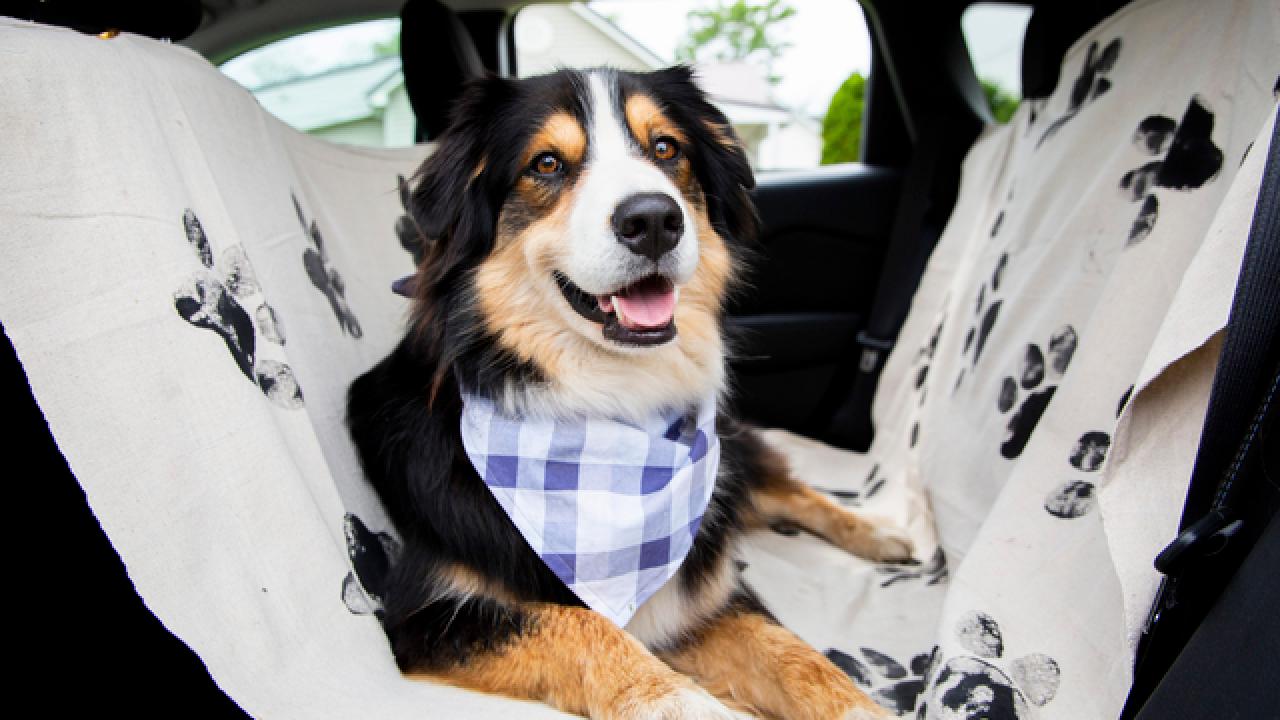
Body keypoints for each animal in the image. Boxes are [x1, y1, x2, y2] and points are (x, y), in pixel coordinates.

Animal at [348, 64, 911, 712]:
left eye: (665, 148)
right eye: (546, 163)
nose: (654, 221)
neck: (610, 407)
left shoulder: (705, 595)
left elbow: (801, 660)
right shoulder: (425, 617)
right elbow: (580, 624)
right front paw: (679, 700)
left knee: (782, 487)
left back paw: (880, 531)